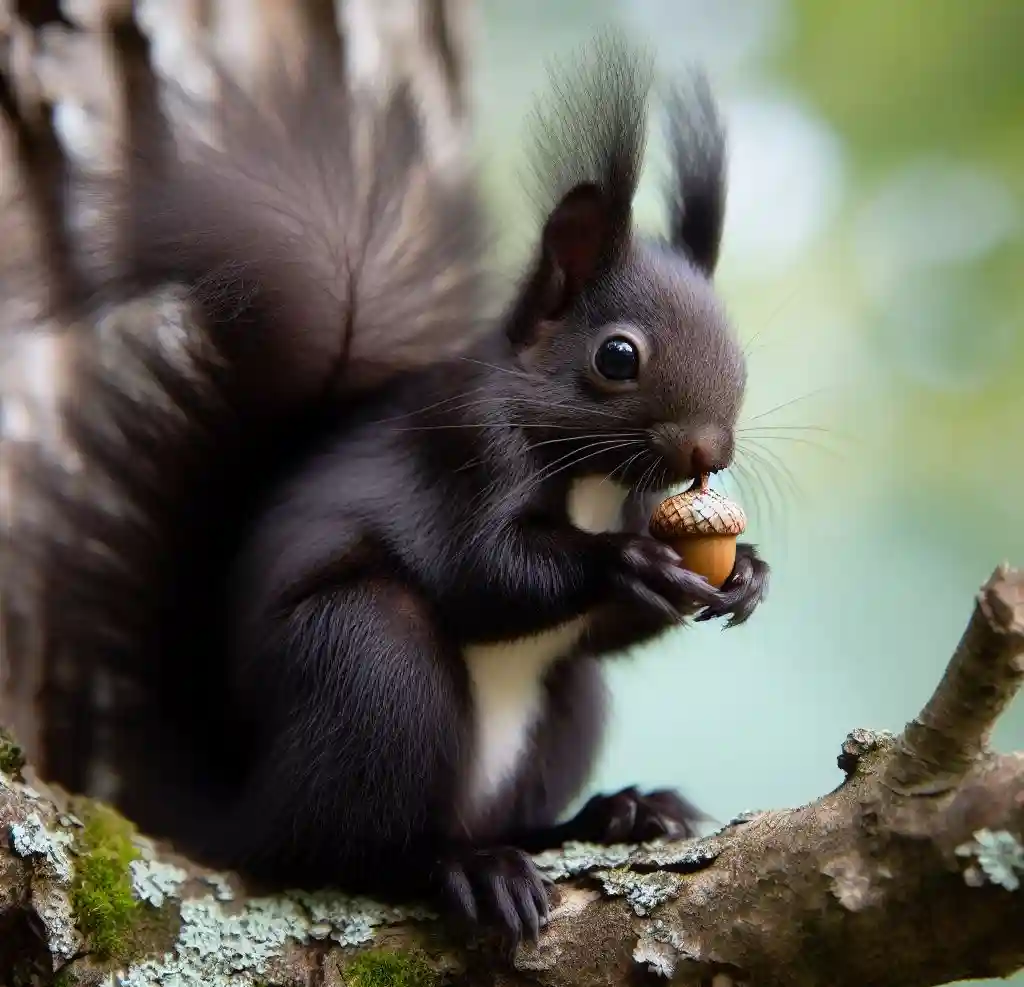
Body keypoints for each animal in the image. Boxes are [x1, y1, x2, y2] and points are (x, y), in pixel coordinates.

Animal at [2, 21, 770, 950]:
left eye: (736, 345)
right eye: (617, 355)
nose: (709, 447)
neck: (586, 477)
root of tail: (241, 816)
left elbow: (604, 630)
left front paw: (748, 573)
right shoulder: (460, 453)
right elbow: (482, 574)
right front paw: (628, 561)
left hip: (561, 707)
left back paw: (611, 815)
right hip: (369, 664)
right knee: (351, 852)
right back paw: (463, 866)